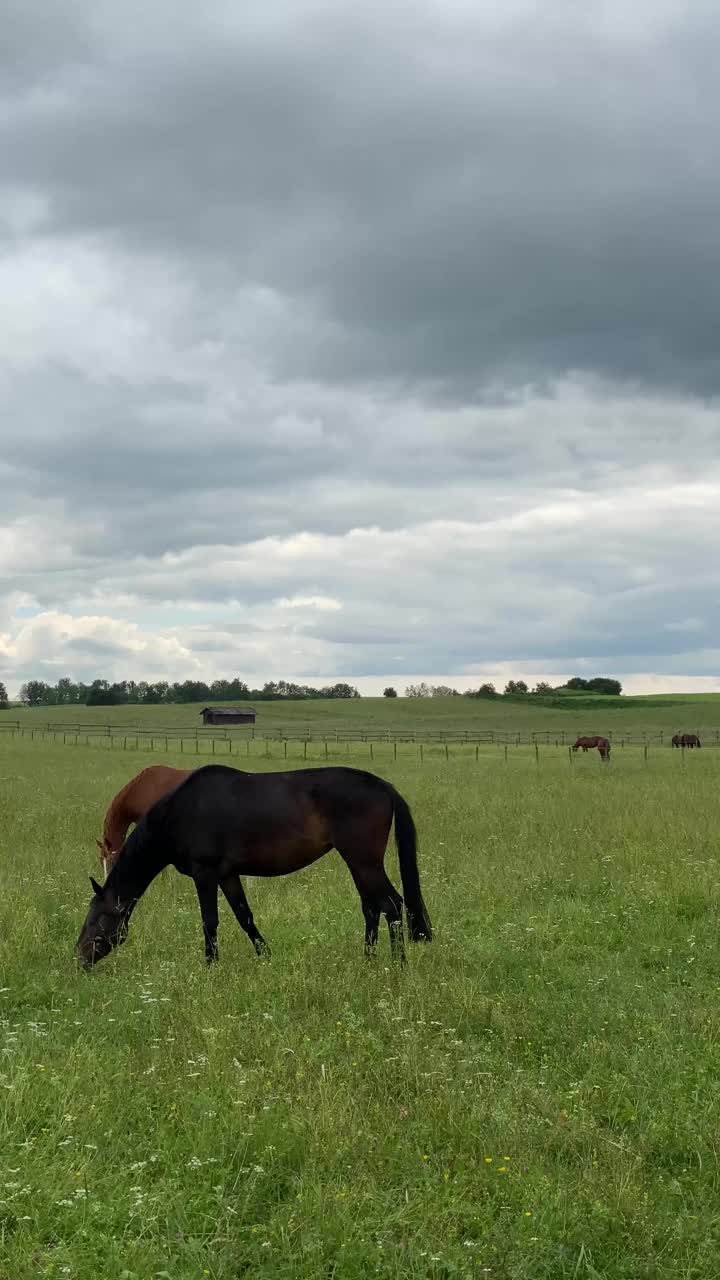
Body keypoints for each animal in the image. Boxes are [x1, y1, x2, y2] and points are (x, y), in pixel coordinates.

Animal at [77, 762, 430, 962]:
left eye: (97, 920)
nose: (80, 957)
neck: (179, 813)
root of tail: (384, 787)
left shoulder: (204, 874)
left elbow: (210, 922)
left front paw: (211, 965)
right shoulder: (228, 875)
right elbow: (244, 917)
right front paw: (265, 957)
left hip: (363, 860)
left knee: (391, 905)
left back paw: (396, 964)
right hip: (358, 862)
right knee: (372, 907)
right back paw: (368, 959)